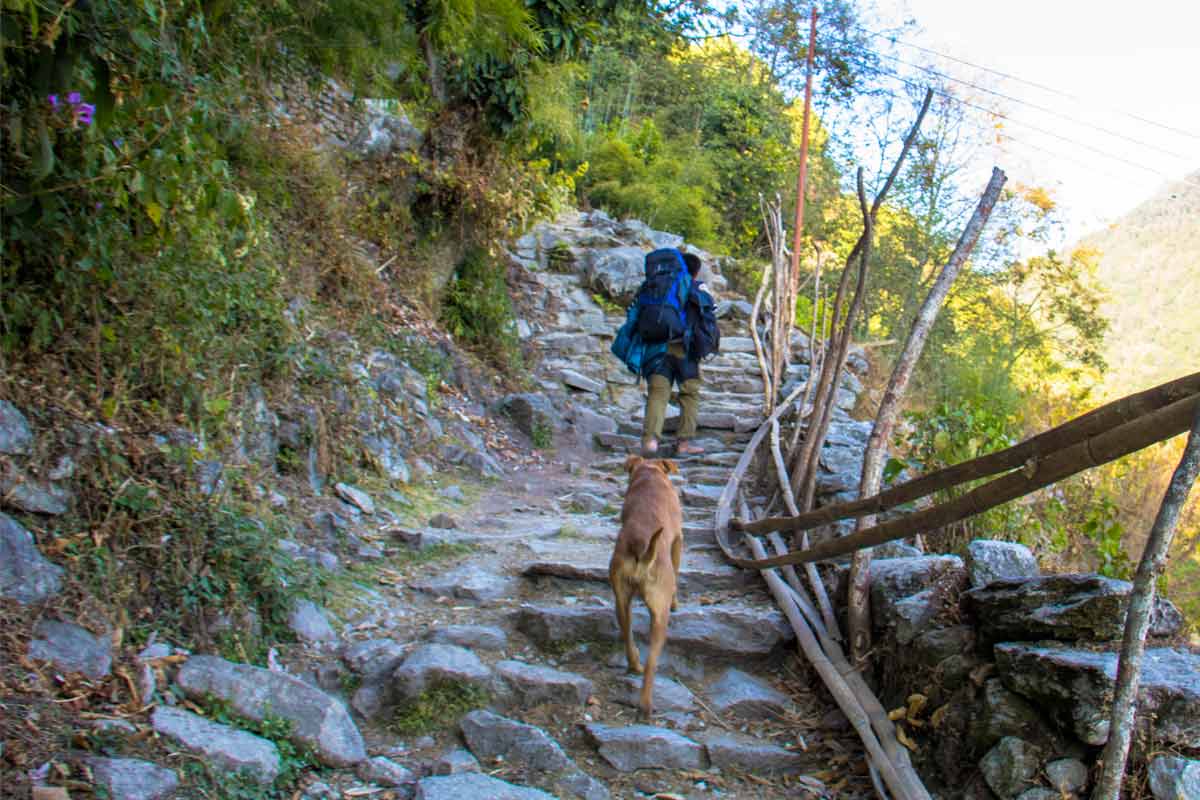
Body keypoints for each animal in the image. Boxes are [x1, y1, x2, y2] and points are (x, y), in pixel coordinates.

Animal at [614, 455, 681, 719]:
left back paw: (634, 665)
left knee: (627, 633)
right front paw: (677, 602)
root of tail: (641, 551)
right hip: (660, 617)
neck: (650, 472)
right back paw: (646, 704)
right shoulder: (678, 540)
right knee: (652, 662)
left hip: (621, 600)